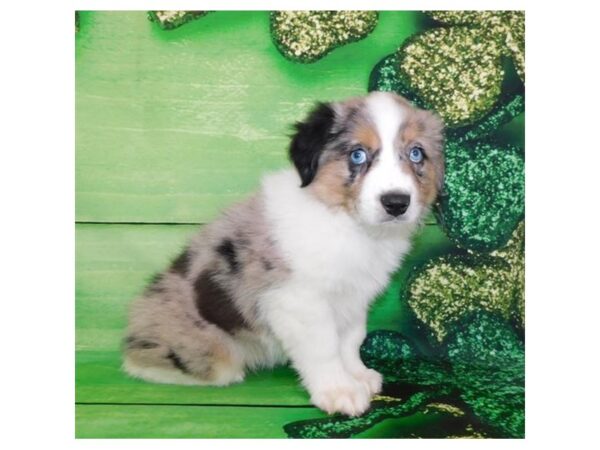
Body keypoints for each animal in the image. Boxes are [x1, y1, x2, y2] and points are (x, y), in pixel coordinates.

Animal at [123, 89, 440, 416]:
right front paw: (339, 391)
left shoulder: (353, 295)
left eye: (416, 154)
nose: (396, 203)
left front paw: (358, 375)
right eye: (357, 154)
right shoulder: (298, 300)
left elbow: (351, 339)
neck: (346, 221)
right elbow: (324, 347)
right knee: (148, 363)